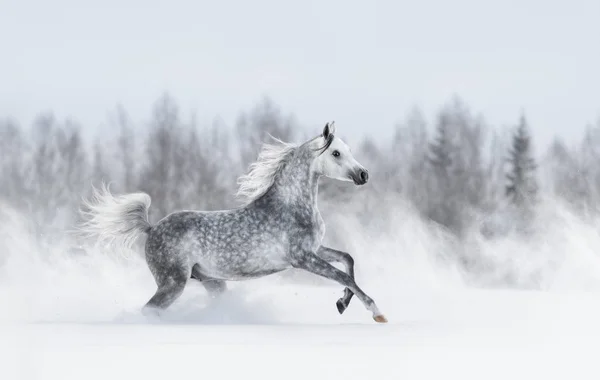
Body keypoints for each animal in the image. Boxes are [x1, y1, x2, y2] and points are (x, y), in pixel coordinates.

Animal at [78, 122, 390, 324]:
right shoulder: (302, 258)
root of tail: (151, 227)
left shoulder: (315, 249)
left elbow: (348, 260)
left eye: (348, 150)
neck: (291, 205)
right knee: (149, 310)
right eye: (336, 153)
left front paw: (341, 304)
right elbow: (344, 276)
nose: (364, 175)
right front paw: (377, 313)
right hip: (172, 282)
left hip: (212, 282)